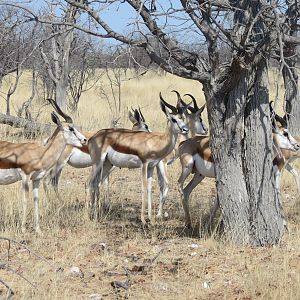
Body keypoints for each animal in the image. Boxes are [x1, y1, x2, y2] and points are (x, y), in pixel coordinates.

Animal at [0, 99, 86, 233]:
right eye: (71, 128)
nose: (85, 140)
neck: (40, 153)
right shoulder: (25, 177)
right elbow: (25, 200)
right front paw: (23, 229)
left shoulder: (37, 179)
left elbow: (36, 200)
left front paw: (38, 229)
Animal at [88, 95, 189, 224]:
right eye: (173, 119)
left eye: (182, 118)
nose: (185, 129)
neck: (154, 142)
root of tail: (93, 137)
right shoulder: (144, 165)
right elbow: (143, 188)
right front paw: (143, 220)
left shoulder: (151, 166)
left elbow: (150, 189)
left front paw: (151, 219)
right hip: (97, 163)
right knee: (89, 183)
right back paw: (88, 215)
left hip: (106, 164)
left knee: (97, 184)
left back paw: (96, 215)